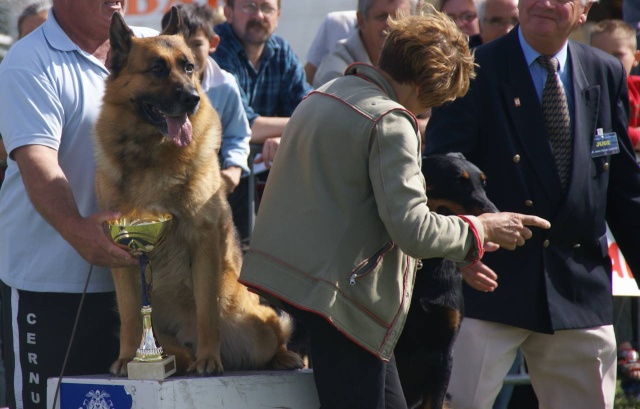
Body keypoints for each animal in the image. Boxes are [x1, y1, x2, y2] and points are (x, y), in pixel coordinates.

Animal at [94, 9, 302, 378]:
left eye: (189, 66)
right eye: (157, 69)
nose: (193, 99)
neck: (153, 154)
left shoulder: (202, 240)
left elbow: (207, 310)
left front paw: (209, 358)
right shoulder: (122, 255)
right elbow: (132, 314)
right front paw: (128, 356)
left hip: (253, 323)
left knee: (273, 336)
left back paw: (276, 356)